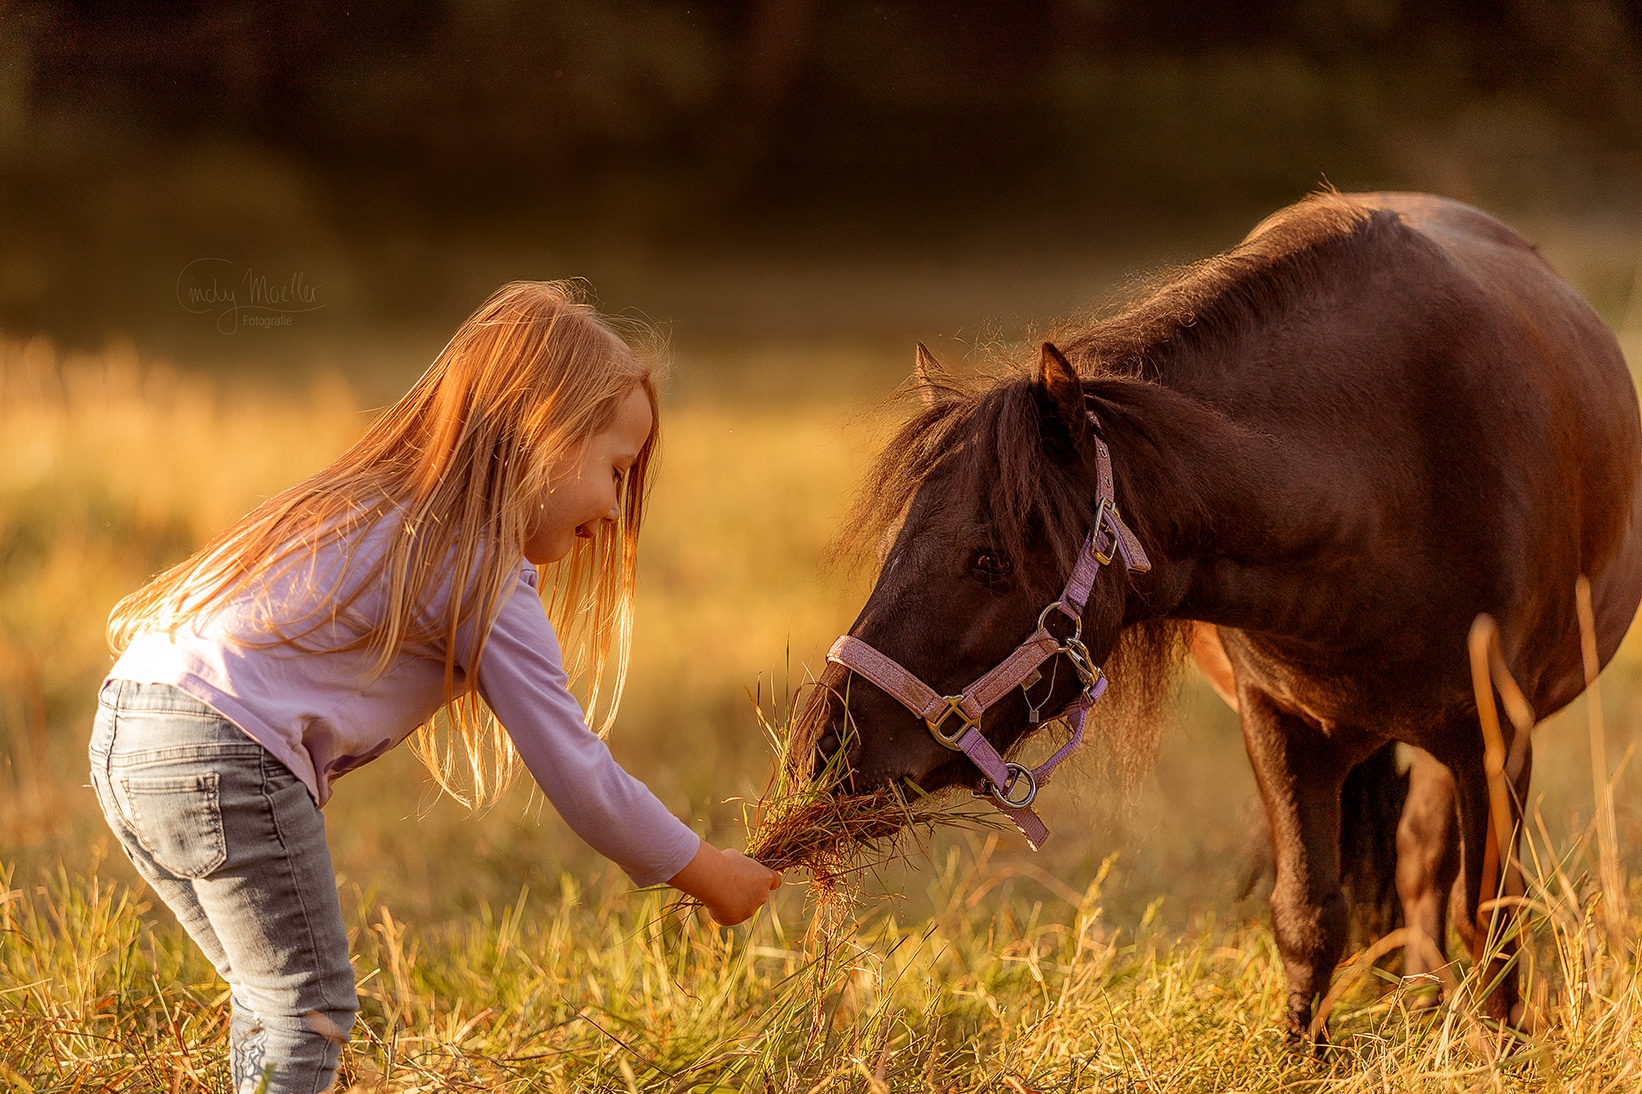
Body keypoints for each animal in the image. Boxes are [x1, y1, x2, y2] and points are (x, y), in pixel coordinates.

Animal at [799, 190, 1642, 1043]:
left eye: (987, 559)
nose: (830, 746)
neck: (1397, 465)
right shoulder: (1278, 725)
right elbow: (1308, 915)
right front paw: (1307, 1053)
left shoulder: (1496, 738)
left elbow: (1491, 917)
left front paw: (1502, 1051)